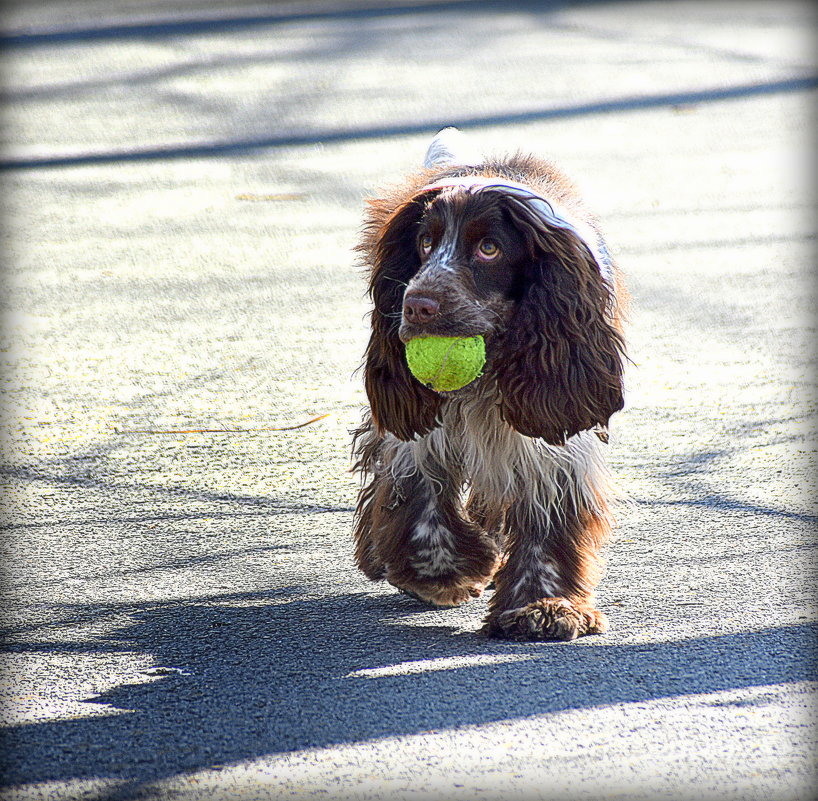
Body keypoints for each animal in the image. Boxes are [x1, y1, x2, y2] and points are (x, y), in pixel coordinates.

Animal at [350, 128, 624, 640]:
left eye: (489, 248)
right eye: (424, 242)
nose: (415, 306)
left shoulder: (553, 432)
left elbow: (545, 517)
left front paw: (544, 605)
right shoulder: (424, 425)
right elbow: (419, 491)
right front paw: (442, 571)